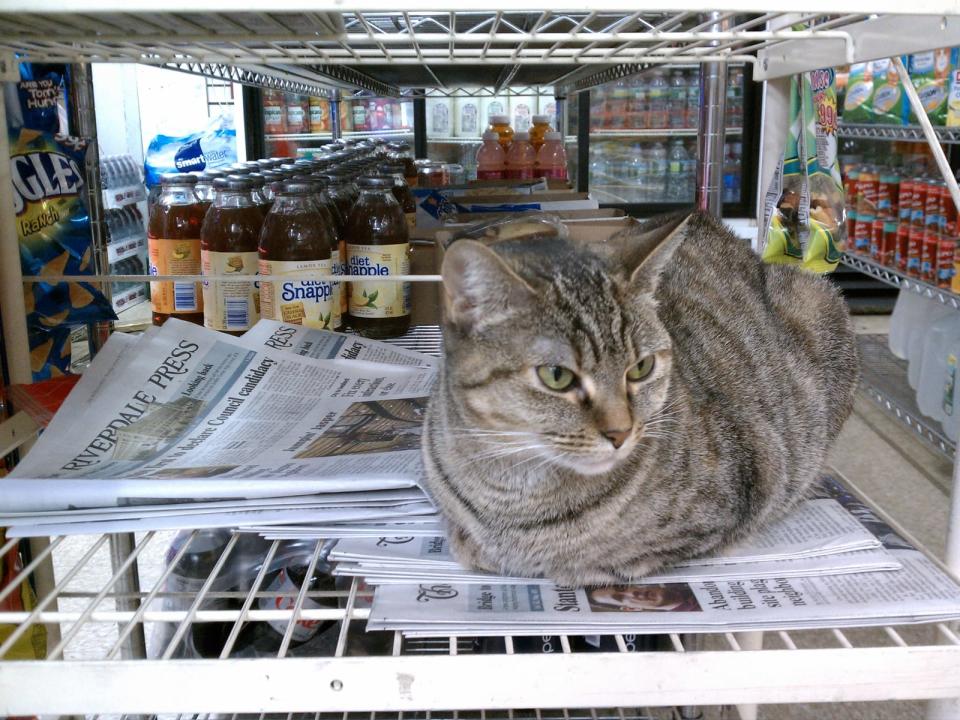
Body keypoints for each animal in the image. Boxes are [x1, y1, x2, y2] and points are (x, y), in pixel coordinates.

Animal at [424, 212, 860, 584]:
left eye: (641, 368)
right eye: (557, 376)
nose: (620, 433)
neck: (512, 495)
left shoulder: (747, 483)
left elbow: (618, 559)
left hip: (822, 304)